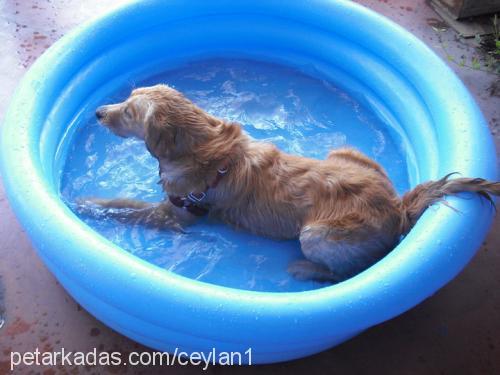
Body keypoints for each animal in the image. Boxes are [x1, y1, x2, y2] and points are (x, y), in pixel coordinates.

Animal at [79, 85, 500, 284]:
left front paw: (85, 203)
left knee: (348, 272)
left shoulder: (177, 214)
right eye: (127, 98)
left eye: (129, 111)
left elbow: (125, 207)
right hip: (343, 152)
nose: (98, 111)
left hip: (315, 234)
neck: (202, 146)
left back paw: (304, 269)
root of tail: (397, 207)